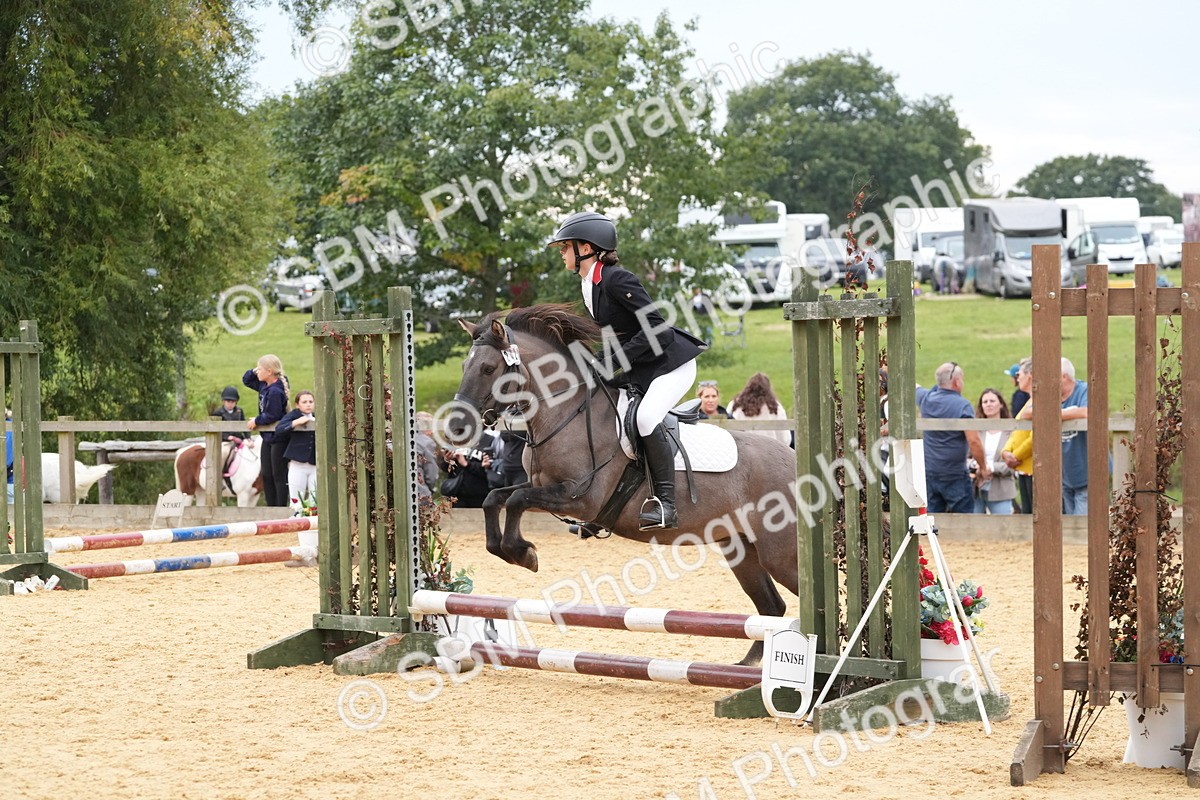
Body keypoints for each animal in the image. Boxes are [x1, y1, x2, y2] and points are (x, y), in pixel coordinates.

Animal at [448, 304, 800, 665]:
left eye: (488, 368)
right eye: (464, 366)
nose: (457, 427)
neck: (564, 413)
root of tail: (799, 462)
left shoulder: (580, 497)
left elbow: (517, 499)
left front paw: (523, 552)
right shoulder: (542, 487)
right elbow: (495, 498)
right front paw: (508, 550)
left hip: (781, 554)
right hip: (741, 548)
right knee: (772, 606)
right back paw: (747, 668)